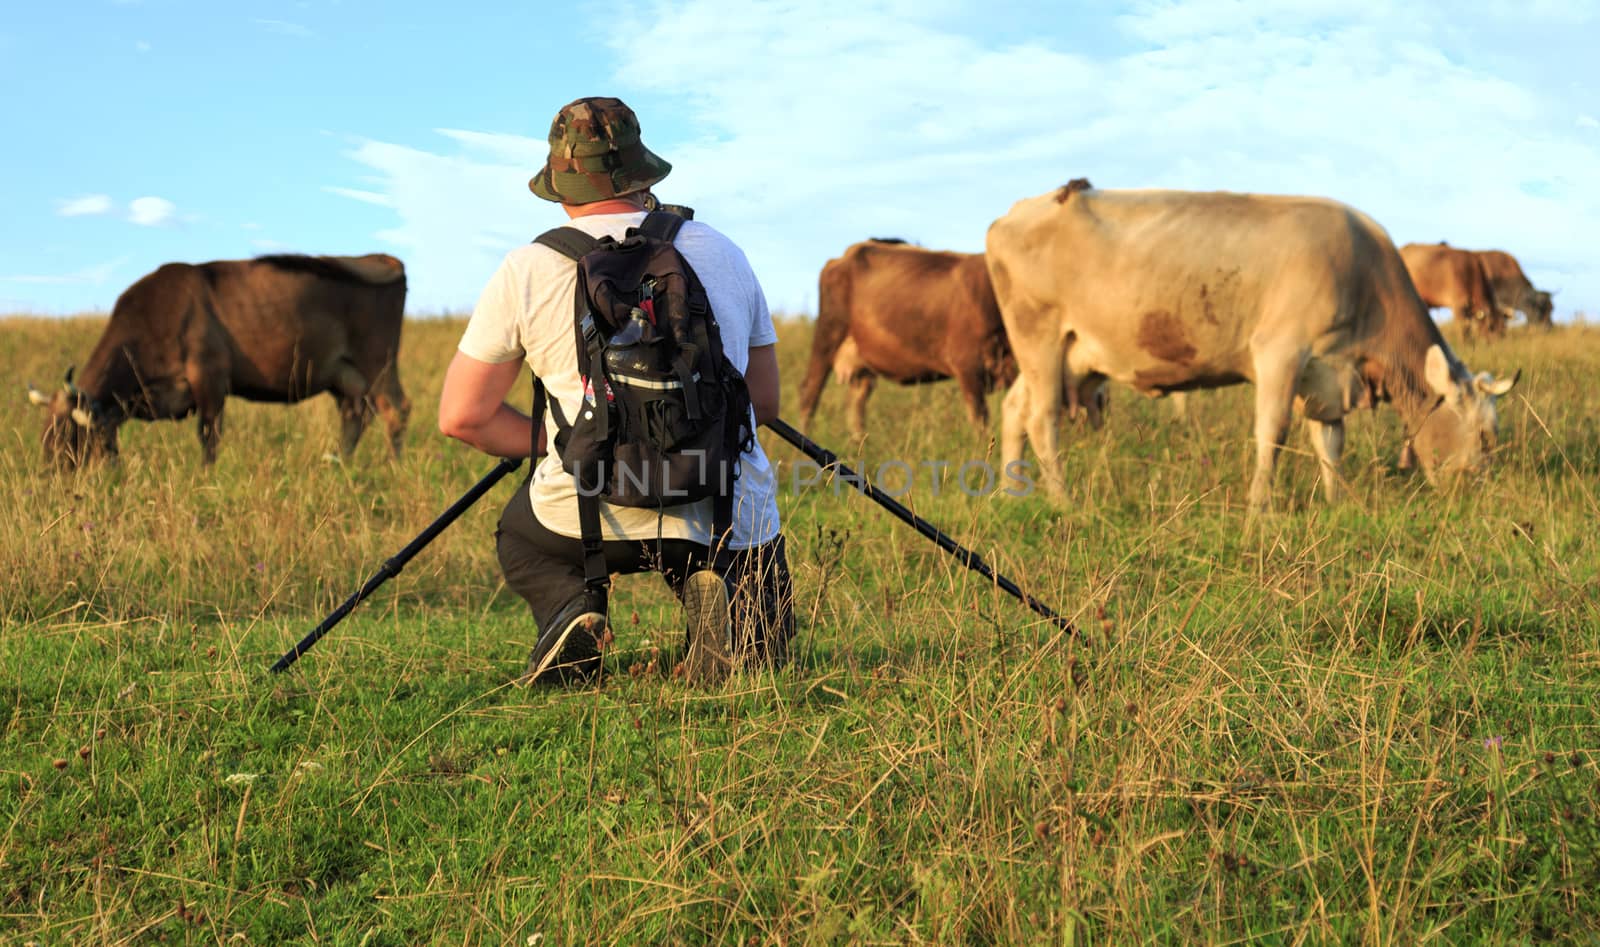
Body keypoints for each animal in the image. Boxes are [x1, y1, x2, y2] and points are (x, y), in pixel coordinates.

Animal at [25, 255, 412, 467]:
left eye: (68, 433)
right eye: (43, 430)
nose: (50, 473)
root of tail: (383, 260)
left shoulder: (209, 378)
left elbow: (208, 436)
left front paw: (204, 477)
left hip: (379, 362)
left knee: (396, 409)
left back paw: (392, 467)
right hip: (344, 377)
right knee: (355, 417)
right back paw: (338, 464)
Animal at [793, 239, 1017, 441]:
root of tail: (847, 254)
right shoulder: (967, 365)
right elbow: (980, 421)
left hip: (863, 359)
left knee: (855, 401)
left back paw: (860, 443)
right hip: (828, 334)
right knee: (810, 391)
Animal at [979, 184, 1516, 511]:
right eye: (1485, 436)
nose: (1480, 493)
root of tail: (1015, 211)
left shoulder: (1326, 370)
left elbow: (1330, 442)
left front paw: (1336, 500)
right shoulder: (1280, 350)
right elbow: (1272, 432)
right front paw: (1261, 509)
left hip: (1068, 355)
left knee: (1013, 409)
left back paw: (1010, 492)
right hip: (1039, 337)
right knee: (1041, 418)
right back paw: (1063, 500)